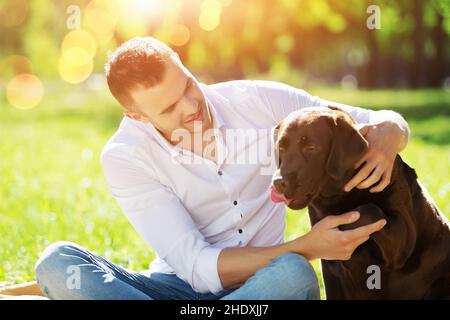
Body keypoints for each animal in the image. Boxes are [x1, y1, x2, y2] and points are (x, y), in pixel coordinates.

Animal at [270, 106, 450, 298]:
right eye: (281, 148)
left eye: (311, 147)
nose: (278, 182)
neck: (340, 194)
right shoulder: (330, 272)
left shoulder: (404, 241)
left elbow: (369, 209)